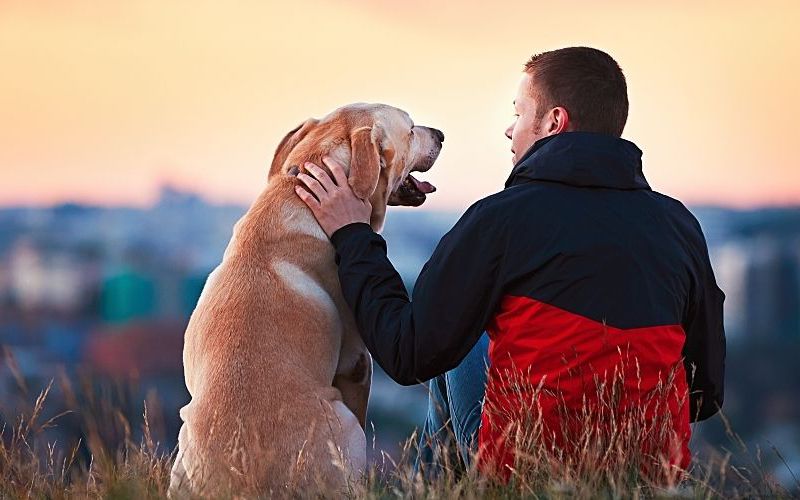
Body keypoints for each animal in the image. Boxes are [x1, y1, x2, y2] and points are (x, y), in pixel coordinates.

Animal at [169, 102, 444, 496]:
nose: (441, 134)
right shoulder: (357, 362)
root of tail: (244, 486)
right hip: (344, 424)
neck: (298, 194)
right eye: (409, 129)